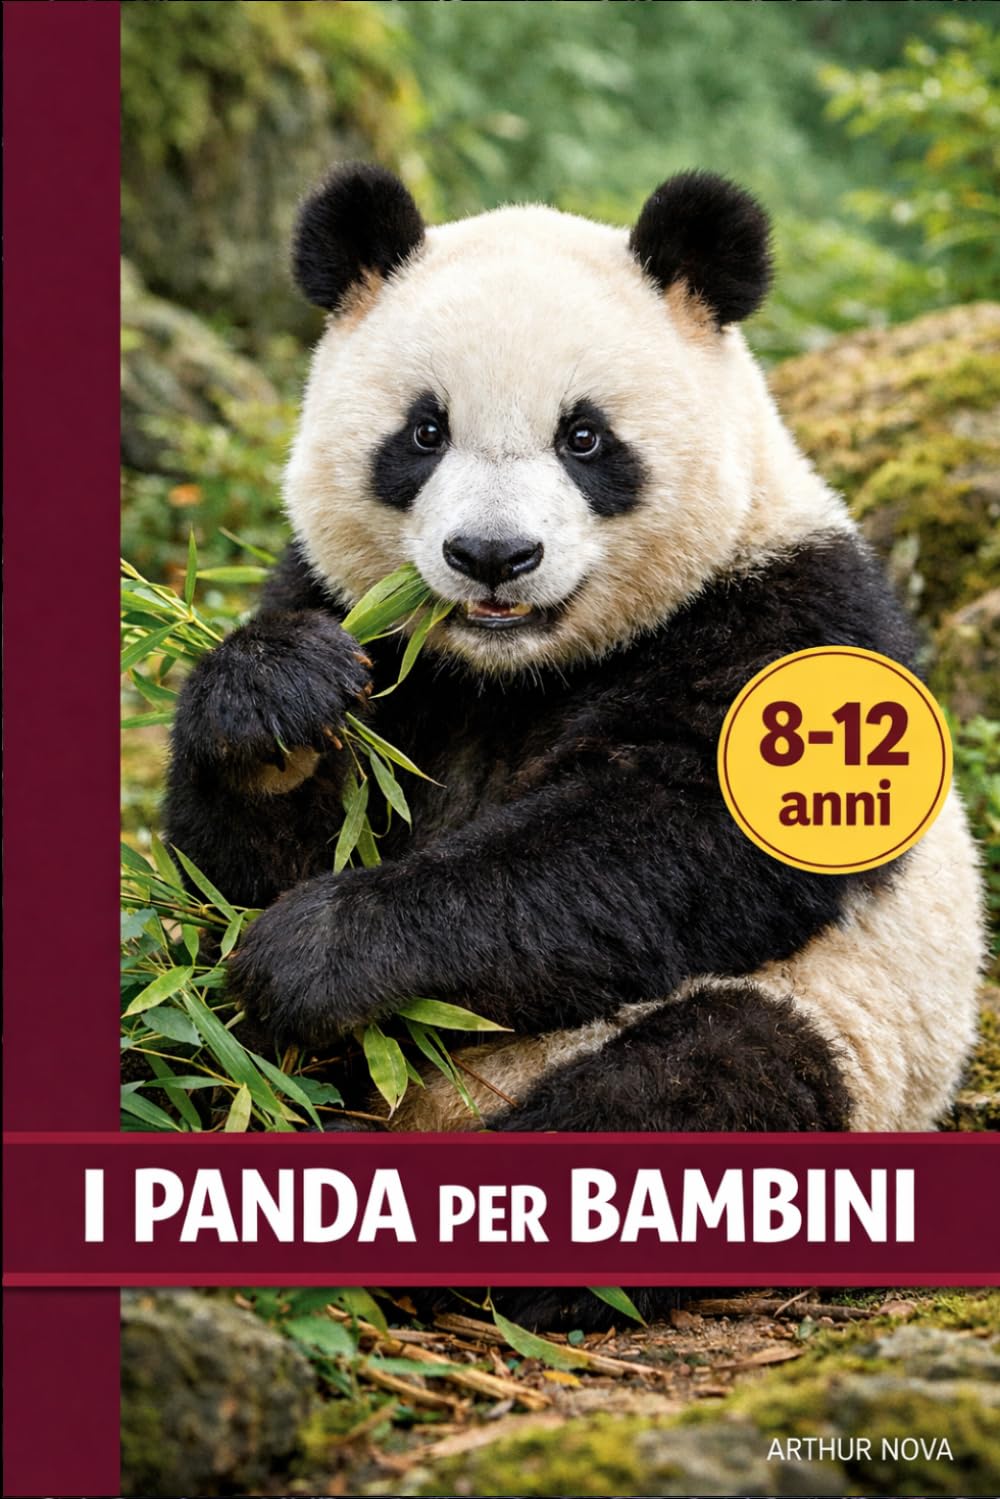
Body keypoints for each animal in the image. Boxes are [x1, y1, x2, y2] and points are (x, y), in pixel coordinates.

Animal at [166, 165, 982, 1322]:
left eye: (584, 438)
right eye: (424, 432)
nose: (492, 555)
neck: (513, 669)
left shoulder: (785, 618)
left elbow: (665, 843)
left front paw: (317, 950)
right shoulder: (363, 624)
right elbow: (230, 867)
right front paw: (276, 706)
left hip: (842, 1032)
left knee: (693, 1094)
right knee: (183, 1045)